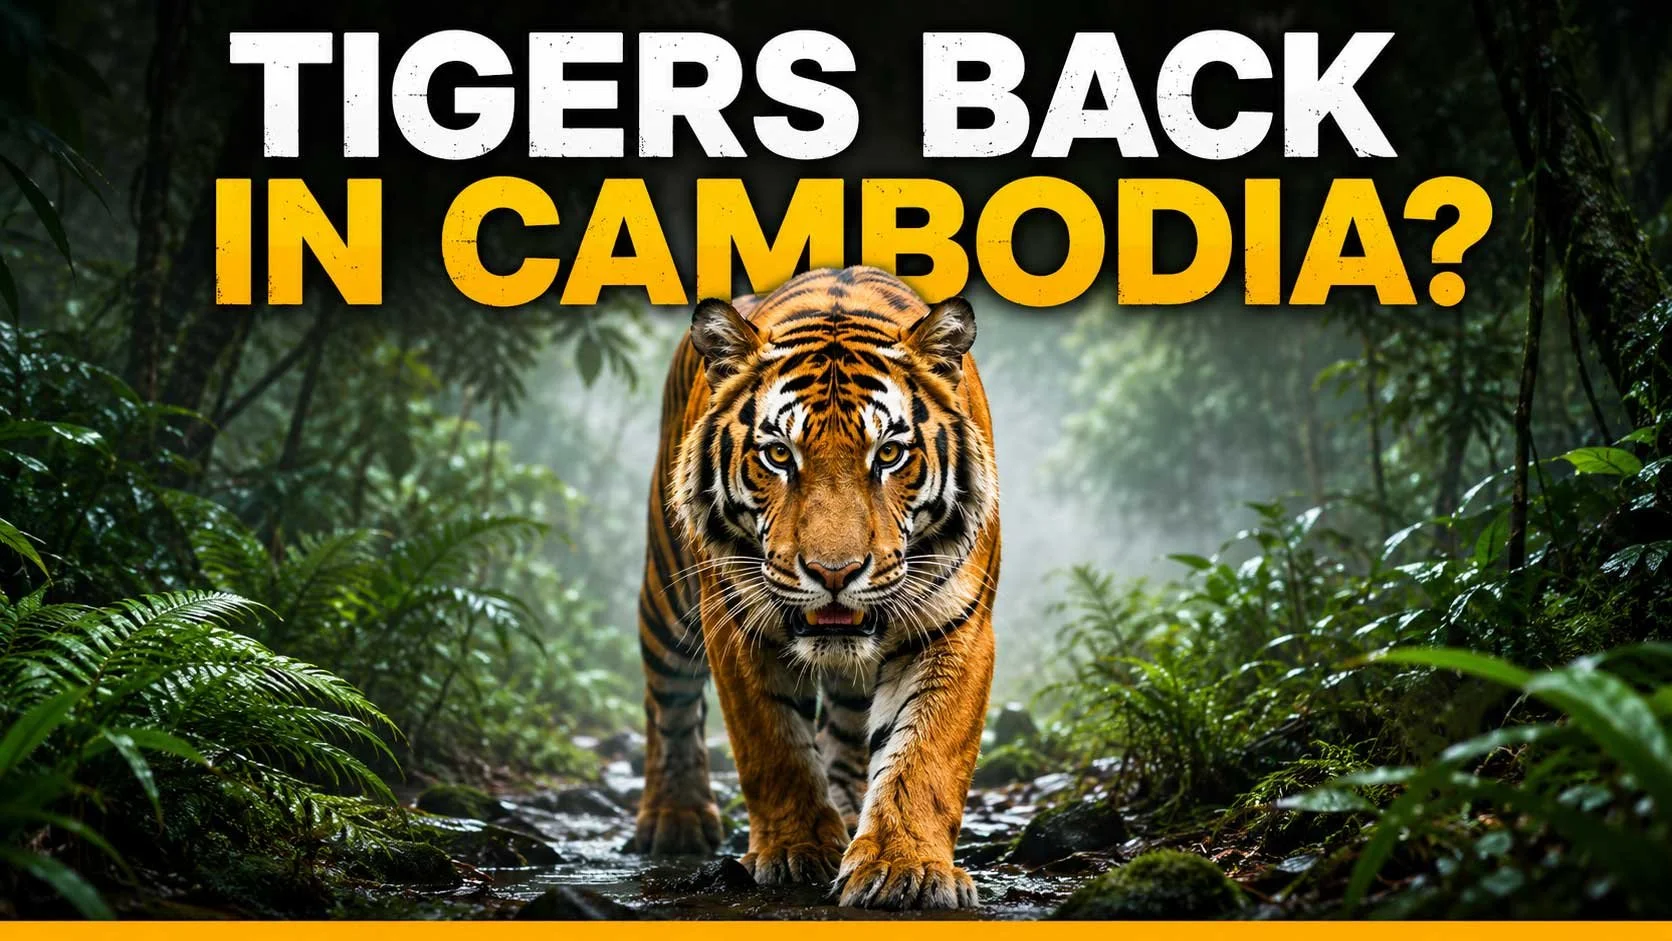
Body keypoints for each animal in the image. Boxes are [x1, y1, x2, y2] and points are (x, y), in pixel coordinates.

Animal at [629, 266, 1001, 910]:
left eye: (889, 453)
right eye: (779, 454)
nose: (833, 573)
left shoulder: (957, 623)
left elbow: (925, 752)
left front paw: (903, 867)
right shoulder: (735, 622)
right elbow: (773, 748)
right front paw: (796, 850)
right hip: (666, 597)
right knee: (668, 702)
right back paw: (675, 820)